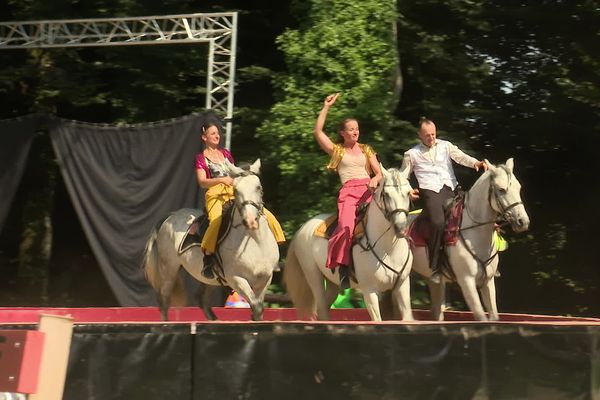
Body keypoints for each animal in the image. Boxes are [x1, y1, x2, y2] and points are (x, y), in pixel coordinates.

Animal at [142, 159, 278, 322]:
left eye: (259, 187)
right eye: (236, 190)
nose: (250, 221)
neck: (255, 242)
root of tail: (171, 215)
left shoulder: (265, 278)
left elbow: (258, 309)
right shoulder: (236, 278)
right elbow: (256, 306)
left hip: (208, 280)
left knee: (202, 300)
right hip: (168, 268)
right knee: (164, 300)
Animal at [284, 166, 414, 322]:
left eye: (408, 193)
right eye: (386, 194)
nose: (401, 228)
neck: (389, 249)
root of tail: (303, 228)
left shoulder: (402, 285)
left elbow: (407, 316)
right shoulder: (369, 291)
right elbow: (377, 319)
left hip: (333, 283)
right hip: (313, 275)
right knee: (321, 307)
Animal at [412, 158, 528, 320]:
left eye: (518, 188)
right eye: (501, 190)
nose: (523, 221)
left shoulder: (488, 282)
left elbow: (493, 316)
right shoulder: (467, 281)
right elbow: (481, 317)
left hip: (433, 281)